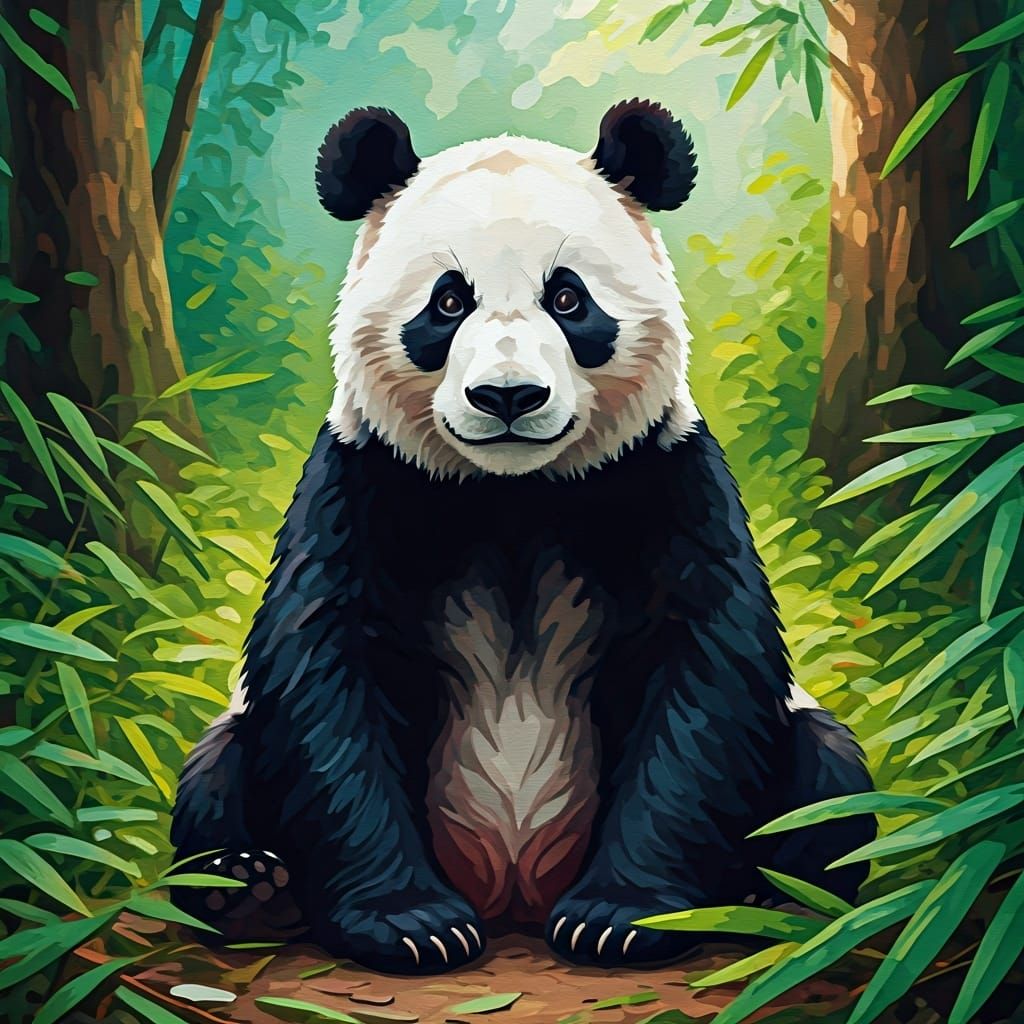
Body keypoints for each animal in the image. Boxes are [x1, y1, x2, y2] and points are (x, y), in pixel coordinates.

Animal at [170, 99, 874, 975]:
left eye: (569, 301)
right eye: (447, 304)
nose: (508, 396)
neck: (513, 492)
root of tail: (512, 893)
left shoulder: (666, 475)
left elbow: (703, 670)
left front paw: (621, 916)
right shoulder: (360, 481)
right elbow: (325, 675)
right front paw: (410, 923)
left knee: (826, 773)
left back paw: (776, 896)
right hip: (245, 748)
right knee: (218, 767)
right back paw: (247, 889)